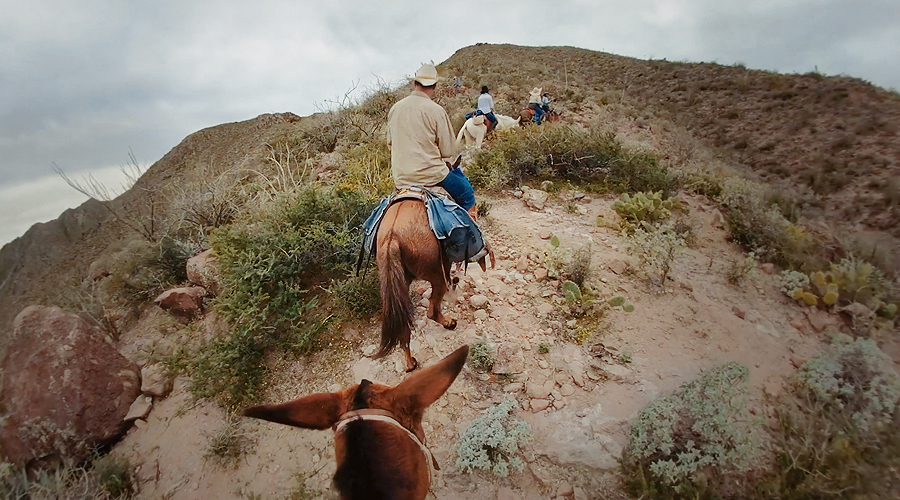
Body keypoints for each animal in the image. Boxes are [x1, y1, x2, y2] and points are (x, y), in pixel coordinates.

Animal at [376, 198, 496, 372]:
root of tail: (392, 238)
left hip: (399, 284)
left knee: (404, 328)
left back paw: (410, 363)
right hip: (436, 276)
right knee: (432, 311)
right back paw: (449, 323)